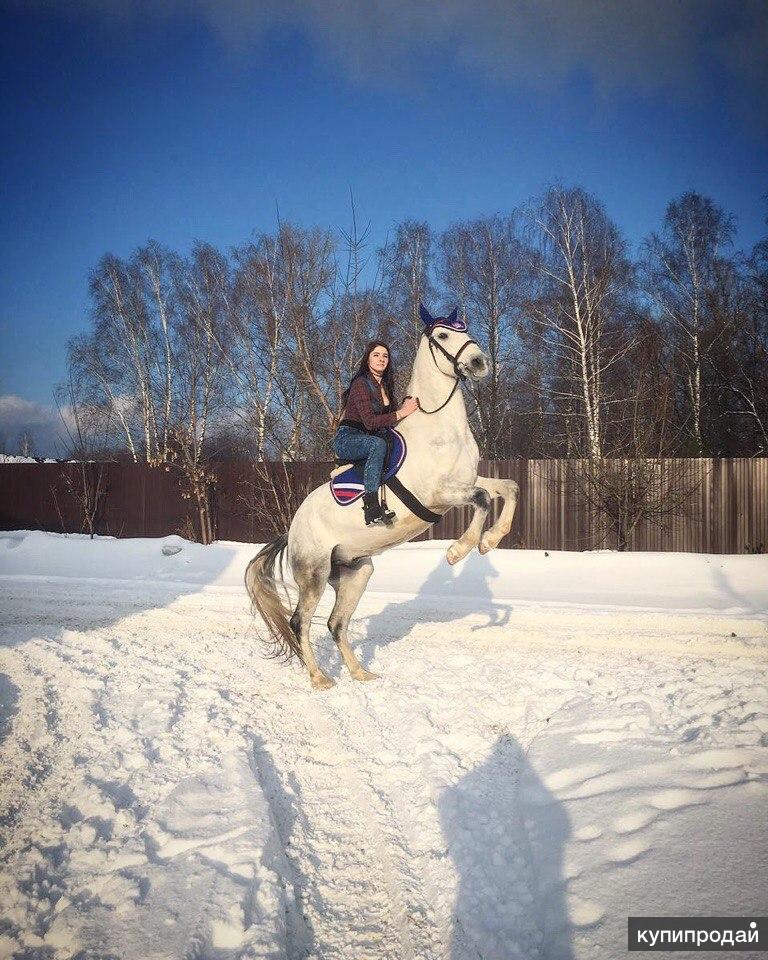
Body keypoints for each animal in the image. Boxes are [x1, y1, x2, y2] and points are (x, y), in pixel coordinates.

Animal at [246, 308, 520, 688]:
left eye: (466, 331)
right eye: (443, 336)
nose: (479, 363)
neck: (439, 430)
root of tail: (292, 531)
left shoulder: (464, 481)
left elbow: (509, 487)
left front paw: (489, 542)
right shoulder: (439, 493)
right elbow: (481, 499)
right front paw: (458, 551)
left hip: (357, 572)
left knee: (336, 623)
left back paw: (361, 673)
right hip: (314, 574)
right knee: (300, 622)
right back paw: (319, 679)